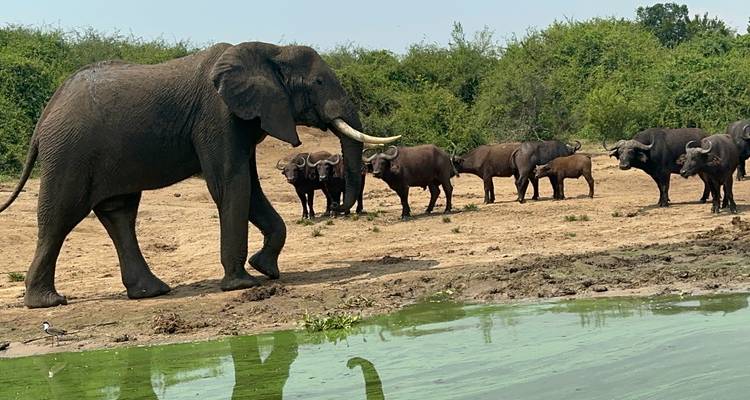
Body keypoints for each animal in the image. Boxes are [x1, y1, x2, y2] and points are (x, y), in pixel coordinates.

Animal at [0, 41, 400, 308]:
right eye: (317, 83)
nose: (339, 208)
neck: (269, 49)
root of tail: (44, 116)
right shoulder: (217, 116)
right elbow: (231, 184)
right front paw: (242, 284)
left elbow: (250, 188)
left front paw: (266, 269)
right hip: (70, 152)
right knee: (60, 218)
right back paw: (48, 302)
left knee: (119, 213)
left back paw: (152, 292)